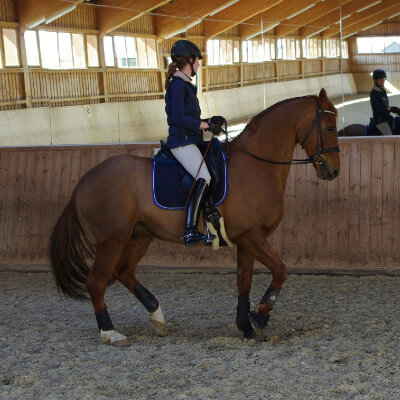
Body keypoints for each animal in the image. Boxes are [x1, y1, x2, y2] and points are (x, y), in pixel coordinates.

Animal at [48, 89, 340, 346]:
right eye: (329, 128)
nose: (334, 171)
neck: (256, 166)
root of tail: (81, 184)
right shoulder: (252, 237)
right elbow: (280, 270)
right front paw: (260, 316)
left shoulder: (247, 239)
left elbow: (244, 281)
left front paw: (246, 327)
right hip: (111, 241)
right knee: (96, 282)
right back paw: (110, 333)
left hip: (139, 236)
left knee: (123, 272)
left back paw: (157, 316)